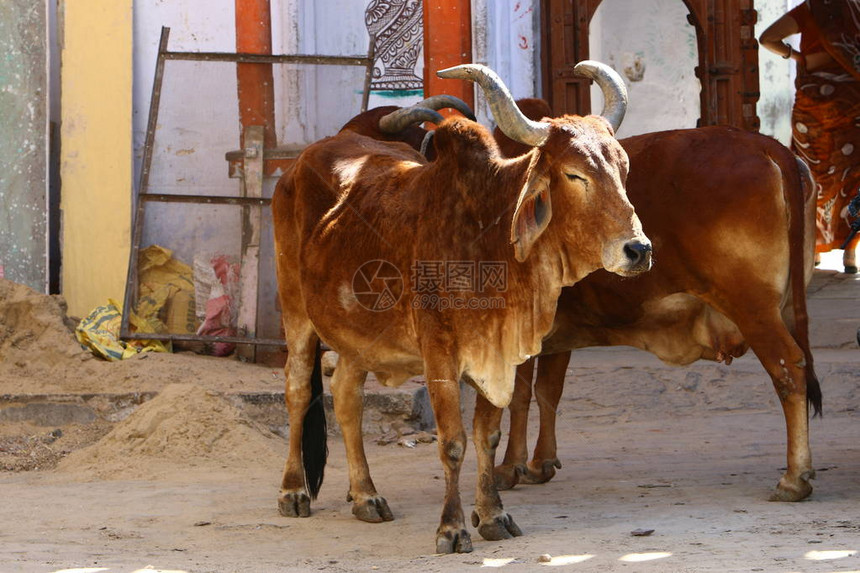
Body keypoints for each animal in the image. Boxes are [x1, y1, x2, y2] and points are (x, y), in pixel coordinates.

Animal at [276, 63, 652, 556]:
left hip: (357, 335)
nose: (638, 249)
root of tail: (300, 162)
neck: (488, 235)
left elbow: (487, 436)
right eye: (575, 175)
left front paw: (492, 515)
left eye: (623, 168)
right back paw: (293, 491)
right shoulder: (440, 355)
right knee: (299, 390)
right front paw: (452, 529)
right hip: (296, 313)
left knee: (346, 397)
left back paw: (366, 496)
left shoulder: (499, 355)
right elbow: (452, 442)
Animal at [490, 100, 820, 502]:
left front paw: (510, 467)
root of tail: (767, 146)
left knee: (789, 368)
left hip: (755, 310)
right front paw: (541, 462)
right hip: (787, 308)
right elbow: (547, 389)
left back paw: (794, 477)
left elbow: (518, 394)